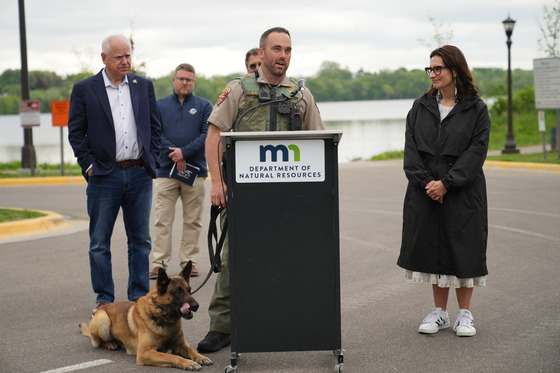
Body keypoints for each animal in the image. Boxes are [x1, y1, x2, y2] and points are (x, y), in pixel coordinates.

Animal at [77, 260, 211, 370]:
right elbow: (172, 356)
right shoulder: (144, 353)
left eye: (189, 290)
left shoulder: (180, 345)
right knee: (98, 342)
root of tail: (103, 307)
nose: (196, 306)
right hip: (103, 319)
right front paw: (188, 363)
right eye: (178, 291)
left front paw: (200, 357)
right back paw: (110, 343)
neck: (161, 318)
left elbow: (191, 350)